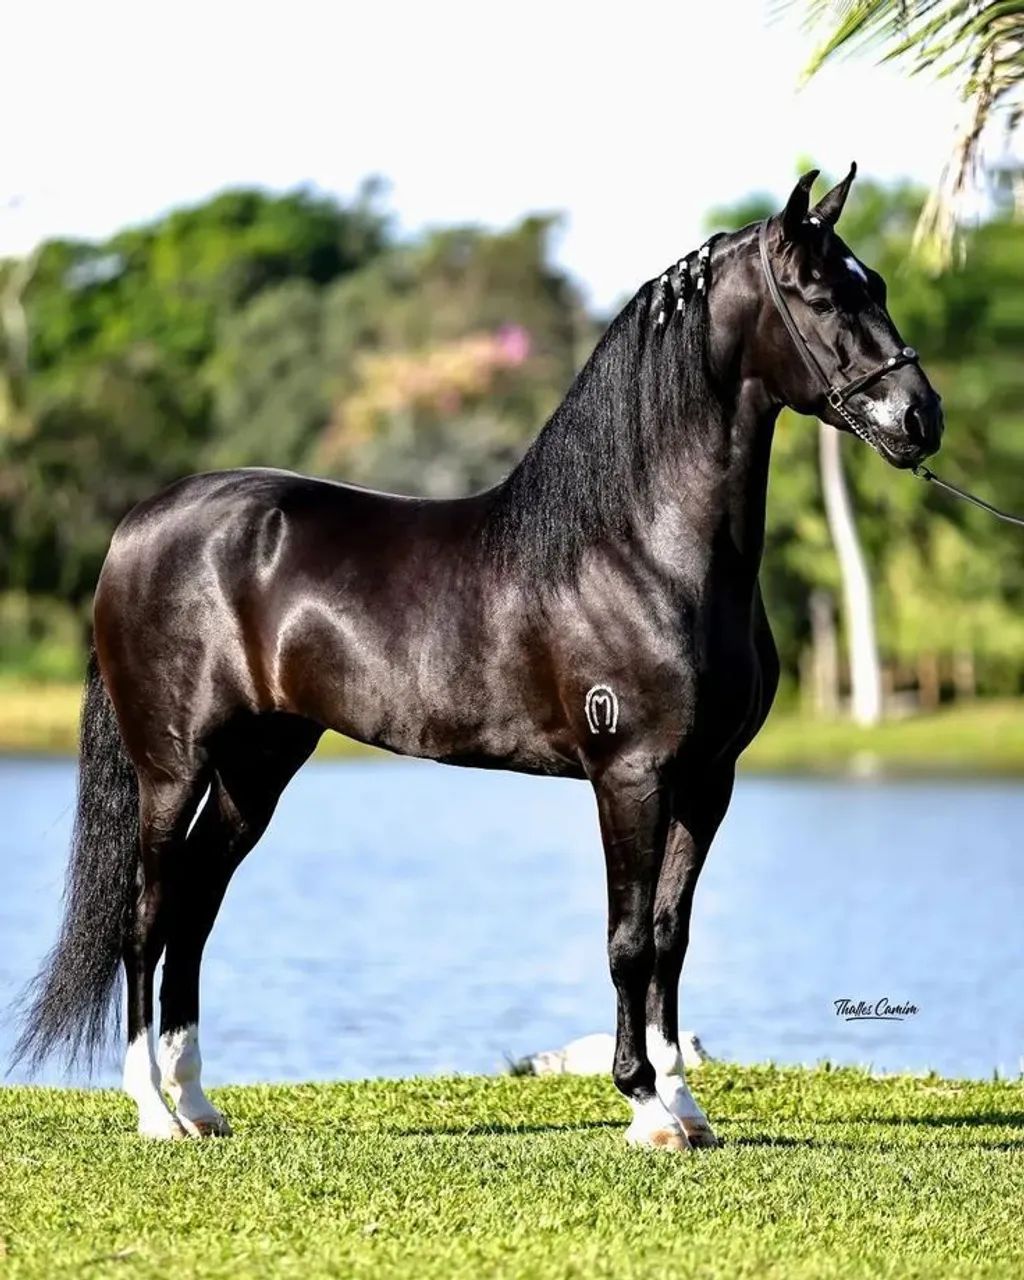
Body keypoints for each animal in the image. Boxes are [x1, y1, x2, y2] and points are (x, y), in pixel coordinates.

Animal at [15, 165, 943, 1149]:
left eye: (878, 283)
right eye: (820, 294)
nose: (922, 418)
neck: (641, 549)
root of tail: (137, 526)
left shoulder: (706, 778)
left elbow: (671, 937)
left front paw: (687, 1108)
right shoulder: (631, 774)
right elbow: (628, 940)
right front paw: (646, 1104)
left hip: (256, 766)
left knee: (193, 910)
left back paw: (198, 1105)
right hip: (172, 767)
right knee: (146, 918)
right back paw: (154, 1109)